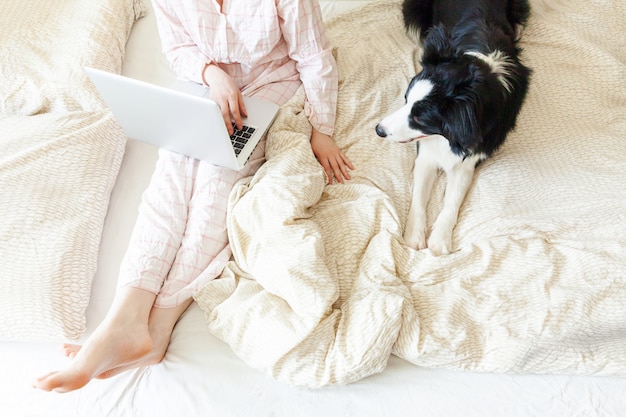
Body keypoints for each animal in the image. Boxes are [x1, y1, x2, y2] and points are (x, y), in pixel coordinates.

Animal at [372, 0, 528, 254]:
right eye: (405, 99)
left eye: (419, 119)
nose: (379, 130)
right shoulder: (426, 152)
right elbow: (418, 196)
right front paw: (414, 236)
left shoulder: (469, 157)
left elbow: (452, 200)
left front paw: (439, 241)